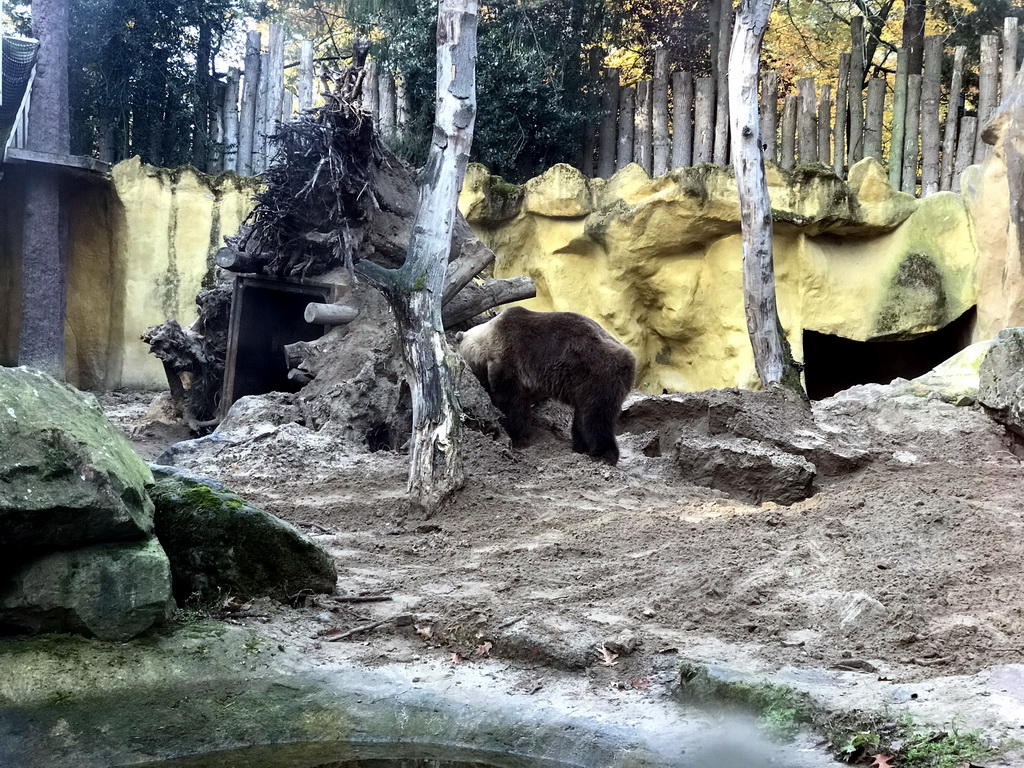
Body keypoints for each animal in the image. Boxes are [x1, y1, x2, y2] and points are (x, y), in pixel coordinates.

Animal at [454, 309, 630, 466]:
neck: (486, 340)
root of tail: (629, 360)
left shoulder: (509, 357)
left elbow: (510, 401)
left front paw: (516, 435)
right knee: (583, 416)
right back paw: (580, 448)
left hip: (596, 375)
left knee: (595, 417)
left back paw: (601, 455)